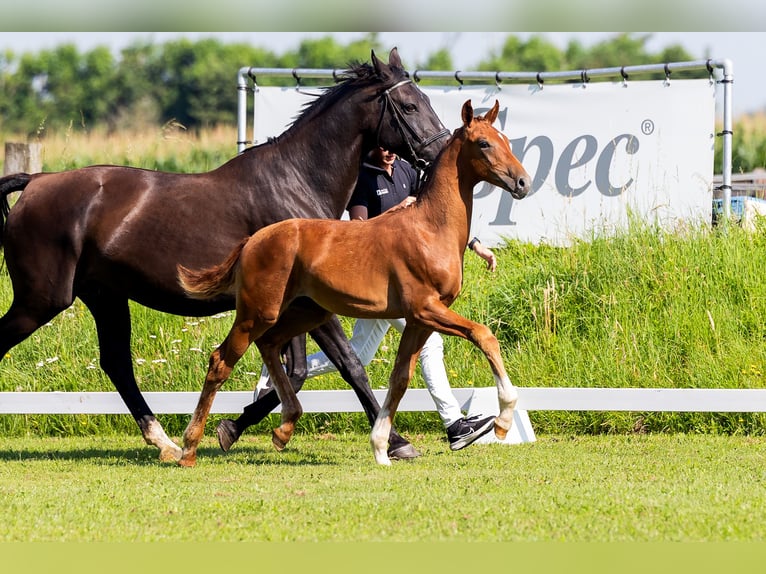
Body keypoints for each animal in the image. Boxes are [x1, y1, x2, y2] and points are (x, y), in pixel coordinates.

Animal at [0, 48, 450, 464]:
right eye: (409, 105)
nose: (442, 150)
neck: (297, 181)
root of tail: (35, 181)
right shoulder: (309, 303)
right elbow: (348, 365)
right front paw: (396, 442)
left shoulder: (294, 306)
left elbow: (298, 371)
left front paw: (237, 427)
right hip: (42, 300)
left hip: (105, 297)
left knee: (117, 363)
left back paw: (164, 442)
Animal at [177, 100, 532, 468]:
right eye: (484, 143)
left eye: (505, 140)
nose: (523, 182)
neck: (430, 228)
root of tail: (252, 240)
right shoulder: (427, 308)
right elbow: (484, 335)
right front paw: (503, 421)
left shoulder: (418, 320)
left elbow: (399, 379)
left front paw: (382, 447)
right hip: (257, 312)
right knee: (221, 360)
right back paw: (189, 448)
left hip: (305, 313)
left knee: (272, 345)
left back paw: (282, 428)